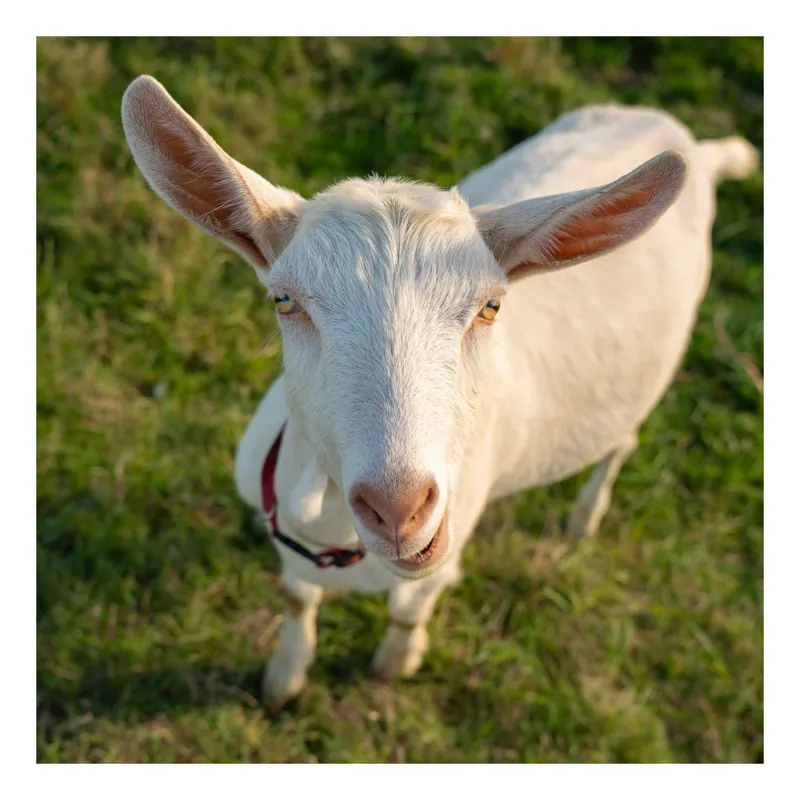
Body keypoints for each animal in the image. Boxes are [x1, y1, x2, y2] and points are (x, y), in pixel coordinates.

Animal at [122, 75, 759, 710]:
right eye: (284, 300)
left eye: (490, 306)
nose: (398, 507)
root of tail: (694, 147)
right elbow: (298, 598)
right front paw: (284, 679)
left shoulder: (442, 555)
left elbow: (410, 608)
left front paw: (395, 663)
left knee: (622, 442)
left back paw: (586, 516)